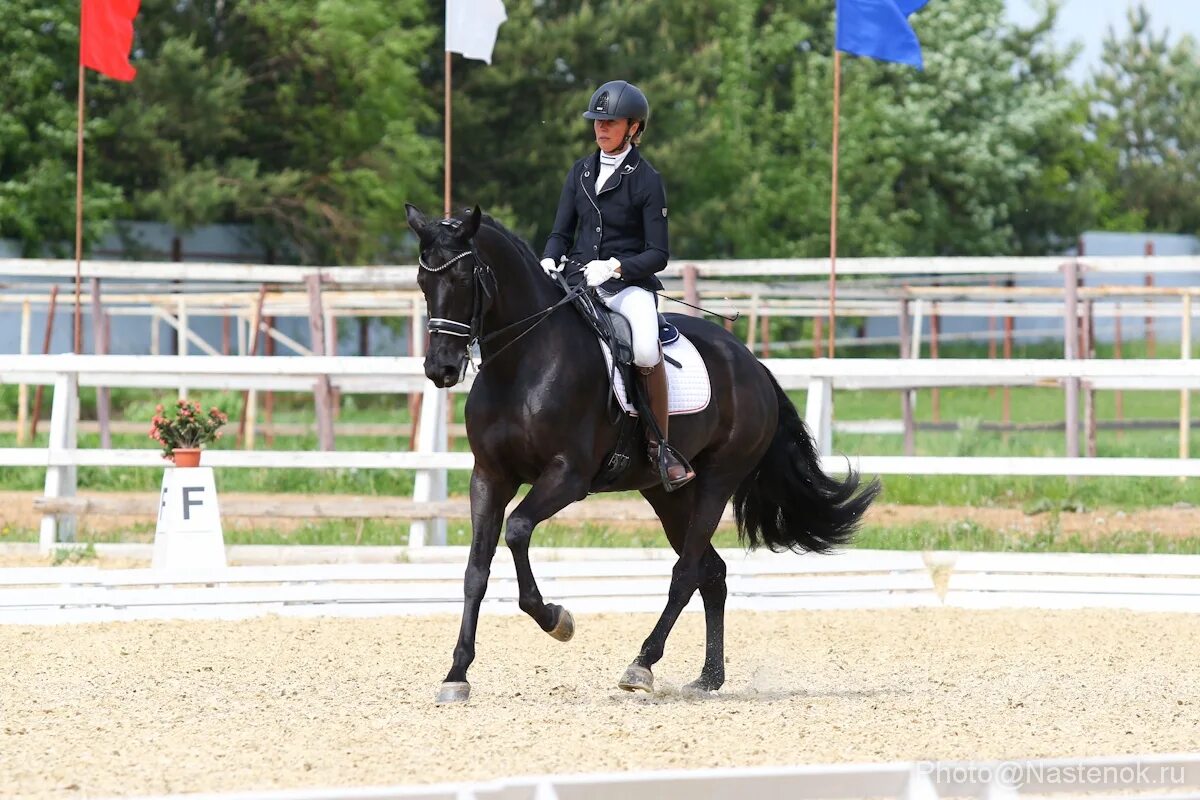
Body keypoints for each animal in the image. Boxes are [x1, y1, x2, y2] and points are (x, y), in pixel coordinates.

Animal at [408, 203, 878, 705]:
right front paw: (456, 674)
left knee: (687, 571)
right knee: (712, 571)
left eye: (463, 278)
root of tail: (750, 361)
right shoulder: (489, 476)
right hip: (667, 493)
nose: (440, 369)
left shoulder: (568, 477)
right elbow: (475, 570)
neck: (522, 365)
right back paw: (707, 678)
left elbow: (516, 531)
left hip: (717, 481)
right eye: (422, 281)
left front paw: (557, 620)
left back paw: (642, 665)